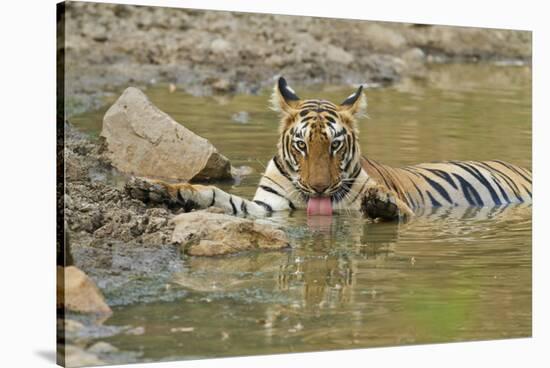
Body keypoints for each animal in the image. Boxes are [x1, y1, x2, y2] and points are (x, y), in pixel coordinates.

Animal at [127, 77, 532, 221]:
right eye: (301, 145)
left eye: (335, 146)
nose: (319, 188)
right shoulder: (268, 207)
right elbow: (214, 196)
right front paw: (155, 189)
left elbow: (394, 208)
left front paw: (380, 204)